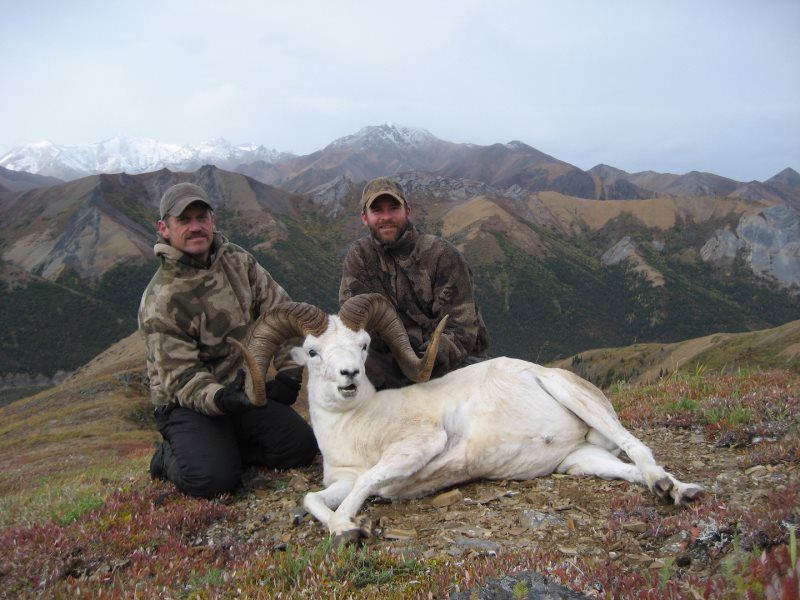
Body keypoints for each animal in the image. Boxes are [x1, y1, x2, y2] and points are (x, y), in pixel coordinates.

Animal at [230, 293, 704, 543]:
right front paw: (342, 527)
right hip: (581, 461)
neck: (357, 427)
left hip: (578, 401)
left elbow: (367, 484)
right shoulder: (339, 481)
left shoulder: (418, 448)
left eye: (363, 345)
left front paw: (349, 527)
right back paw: (670, 489)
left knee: (638, 448)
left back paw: (676, 490)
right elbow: (313, 499)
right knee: (628, 470)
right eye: (313, 352)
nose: (349, 375)